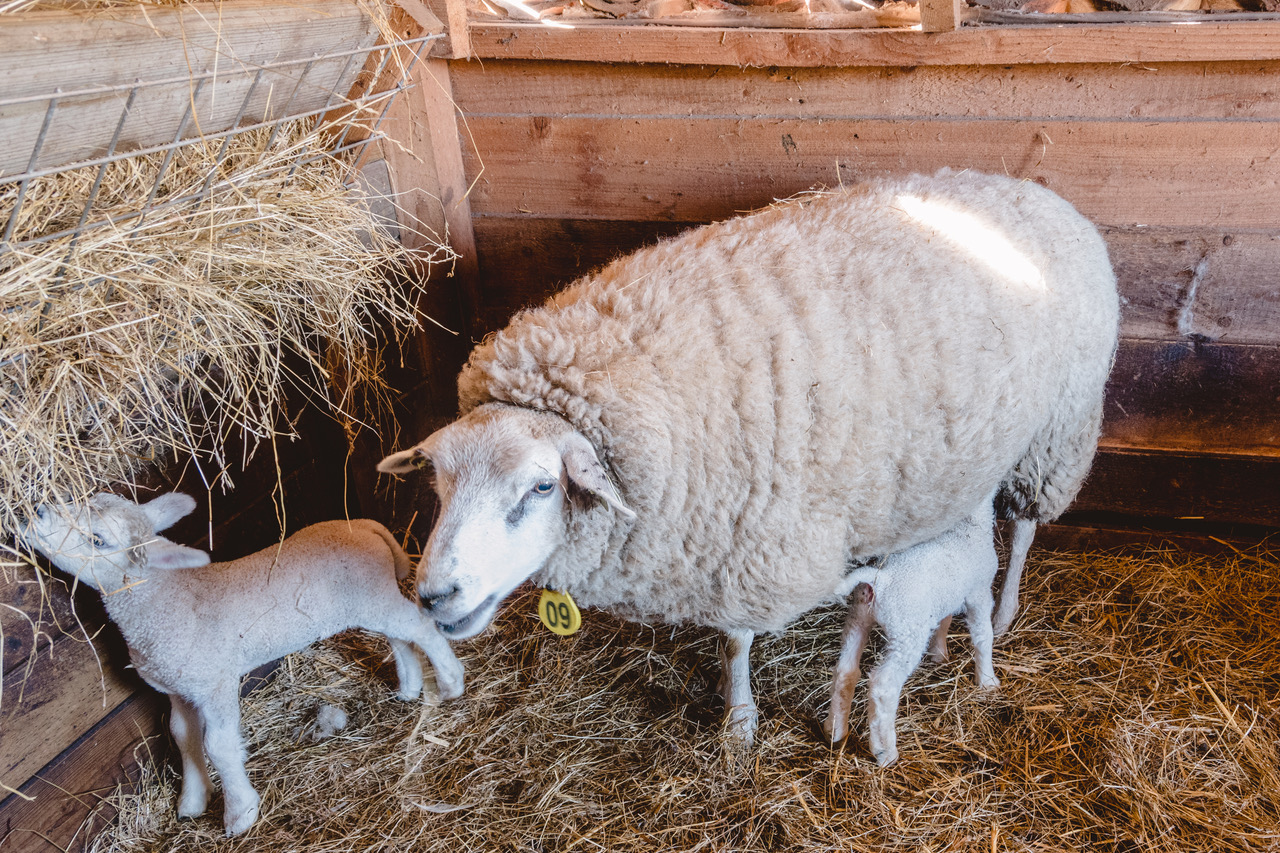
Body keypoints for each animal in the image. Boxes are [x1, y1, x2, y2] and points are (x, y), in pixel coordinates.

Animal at [22, 489, 465, 835]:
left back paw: (451, 681)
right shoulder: (179, 687)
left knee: (421, 627)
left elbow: (217, 745)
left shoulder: (215, 681)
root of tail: (365, 525)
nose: (35, 511)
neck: (165, 602)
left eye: (97, 540)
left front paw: (239, 814)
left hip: (371, 596)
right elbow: (181, 735)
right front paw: (193, 800)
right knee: (400, 635)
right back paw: (409, 687)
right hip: (370, 600)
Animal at [824, 491, 1003, 763]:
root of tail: (883, 580)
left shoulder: (946, 598)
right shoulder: (979, 593)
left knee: (846, 670)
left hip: (858, 617)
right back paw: (885, 752)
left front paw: (938, 654)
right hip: (907, 633)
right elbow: (983, 636)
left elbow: (944, 621)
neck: (968, 527)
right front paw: (987, 680)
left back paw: (834, 731)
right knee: (884, 685)